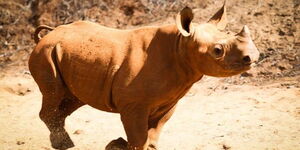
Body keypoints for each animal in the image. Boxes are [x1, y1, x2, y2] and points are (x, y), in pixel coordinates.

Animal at [29, 2, 260, 150]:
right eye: (217, 51)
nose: (253, 55)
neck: (180, 46)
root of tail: (48, 35)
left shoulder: (168, 101)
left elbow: (153, 134)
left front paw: (118, 145)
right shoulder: (133, 105)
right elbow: (139, 138)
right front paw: (120, 145)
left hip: (64, 53)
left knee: (72, 99)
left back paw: (64, 144)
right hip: (46, 53)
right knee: (54, 94)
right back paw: (65, 145)